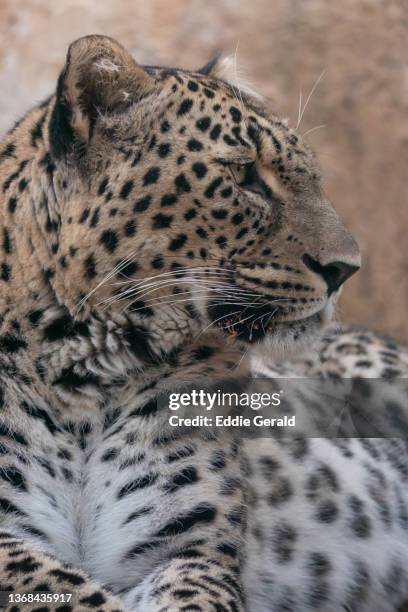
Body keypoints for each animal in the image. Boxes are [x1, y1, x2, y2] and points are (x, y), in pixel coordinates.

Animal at [0, 34, 406, 612]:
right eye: (244, 176)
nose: (346, 269)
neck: (83, 378)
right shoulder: (10, 541)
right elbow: (68, 588)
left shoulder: (189, 547)